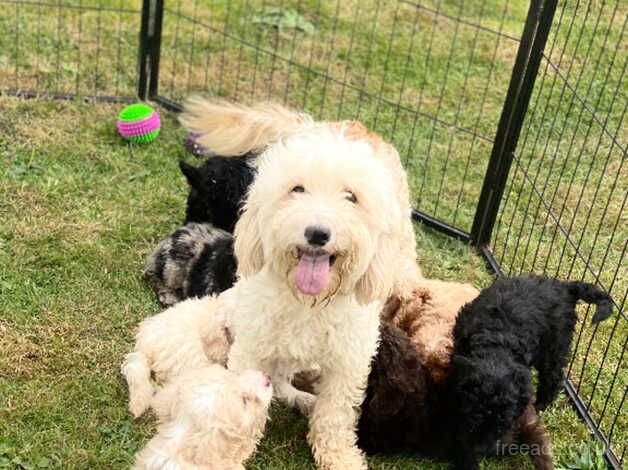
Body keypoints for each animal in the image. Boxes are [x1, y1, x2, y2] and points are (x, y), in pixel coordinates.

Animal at [452, 276, 612, 470]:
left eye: (502, 425)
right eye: (475, 419)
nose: (484, 452)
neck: (497, 348)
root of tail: (565, 287)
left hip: (555, 345)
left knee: (553, 377)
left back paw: (540, 405)